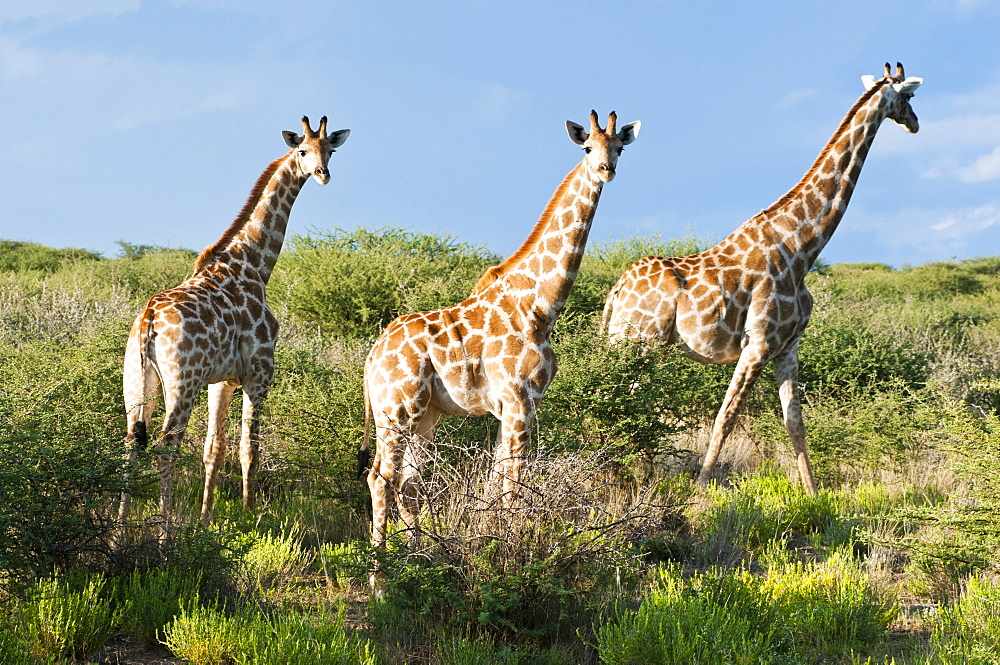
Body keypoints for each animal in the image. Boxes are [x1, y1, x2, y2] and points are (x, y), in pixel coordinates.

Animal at [120, 114, 350, 528]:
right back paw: (165, 532)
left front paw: (206, 518)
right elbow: (249, 448)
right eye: (302, 151)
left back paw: (118, 530)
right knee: (167, 444)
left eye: (331, 150)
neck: (255, 266)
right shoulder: (260, 372)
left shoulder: (222, 379)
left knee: (132, 443)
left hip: (137, 379)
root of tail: (148, 320)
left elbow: (214, 448)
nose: (323, 174)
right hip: (183, 382)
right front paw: (248, 516)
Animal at [360, 111, 640, 556]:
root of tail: (372, 356)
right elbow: (514, 482)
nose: (605, 169)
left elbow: (498, 479)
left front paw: (492, 539)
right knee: (380, 478)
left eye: (620, 148)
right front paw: (511, 545)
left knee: (408, 483)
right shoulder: (518, 397)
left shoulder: (520, 402)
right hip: (398, 409)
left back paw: (417, 555)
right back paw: (379, 564)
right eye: (586, 147)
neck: (540, 307)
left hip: (427, 415)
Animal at [600, 65, 920, 496]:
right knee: (619, 399)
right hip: (638, 342)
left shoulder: (788, 346)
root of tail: (617, 289)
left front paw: (813, 494)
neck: (802, 246)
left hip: (635, 343)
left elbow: (795, 423)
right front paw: (700, 495)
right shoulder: (758, 342)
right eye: (910, 97)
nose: (915, 124)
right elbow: (725, 417)